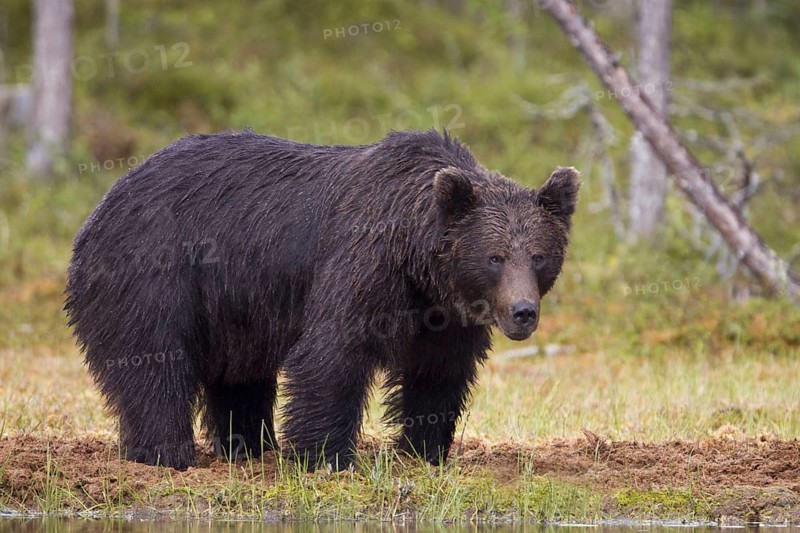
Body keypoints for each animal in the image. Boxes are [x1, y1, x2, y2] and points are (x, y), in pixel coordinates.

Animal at [64, 129, 579, 471]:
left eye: (538, 256)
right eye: (495, 257)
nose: (522, 312)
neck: (416, 257)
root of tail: (102, 204)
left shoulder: (444, 314)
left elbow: (437, 374)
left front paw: (424, 450)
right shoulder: (362, 263)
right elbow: (332, 353)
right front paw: (326, 456)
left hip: (233, 304)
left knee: (240, 376)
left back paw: (250, 447)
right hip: (155, 270)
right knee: (156, 363)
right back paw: (165, 454)